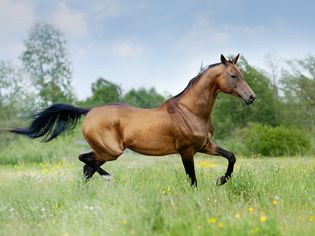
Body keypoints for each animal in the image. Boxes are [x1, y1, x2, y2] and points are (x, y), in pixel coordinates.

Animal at [10, 54, 256, 186]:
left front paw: (222, 180)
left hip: (106, 152)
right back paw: (108, 178)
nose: (251, 97)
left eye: (241, 74)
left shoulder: (205, 145)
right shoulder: (187, 151)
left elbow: (231, 157)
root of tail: (90, 111)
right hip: (111, 151)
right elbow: (192, 179)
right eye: (233, 76)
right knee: (85, 160)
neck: (190, 111)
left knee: (87, 168)